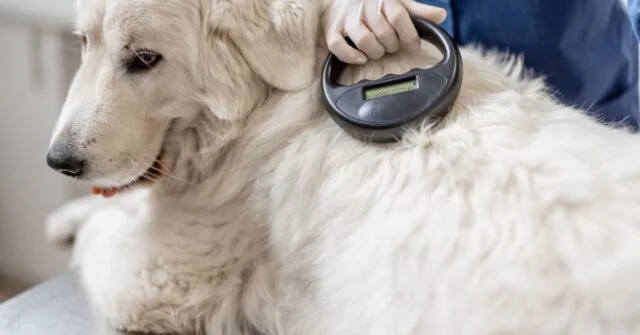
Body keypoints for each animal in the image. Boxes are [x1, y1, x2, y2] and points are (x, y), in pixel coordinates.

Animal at [43, 0, 640, 335]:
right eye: (84, 42)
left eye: (144, 59)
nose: (59, 161)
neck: (268, 107)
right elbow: (111, 210)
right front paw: (63, 218)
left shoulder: (154, 281)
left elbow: (105, 232)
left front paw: (79, 227)